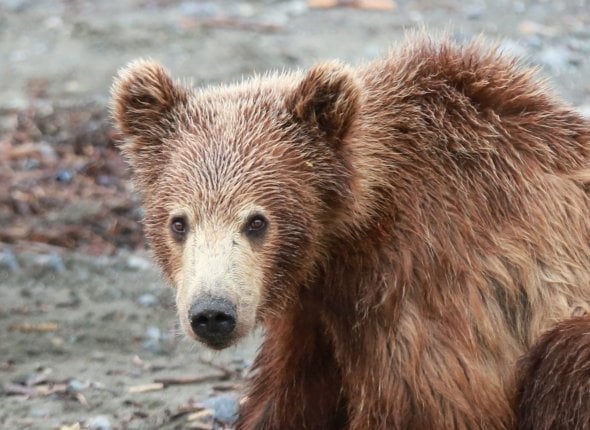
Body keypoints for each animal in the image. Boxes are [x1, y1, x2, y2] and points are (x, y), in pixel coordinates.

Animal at [111, 37, 590, 430]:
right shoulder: (314, 313)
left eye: (257, 221)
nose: (213, 313)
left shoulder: (425, 281)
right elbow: (287, 397)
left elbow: (425, 404)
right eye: (179, 221)